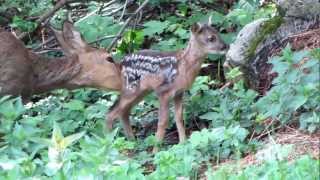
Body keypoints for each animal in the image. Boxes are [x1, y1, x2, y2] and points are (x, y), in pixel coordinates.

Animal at [107, 19, 228, 150]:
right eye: (211, 38)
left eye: (218, 33)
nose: (226, 46)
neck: (184, 67)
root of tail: (120, 64)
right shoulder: (163, 91)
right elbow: (163, 121)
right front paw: (156, 150)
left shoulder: (179, 92)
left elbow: (179, 117)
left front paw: (183, 143)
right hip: (130, 88)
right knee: (111, 112)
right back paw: (109, 144)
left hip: (142, 91)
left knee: (123, 111)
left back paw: (132, 142)